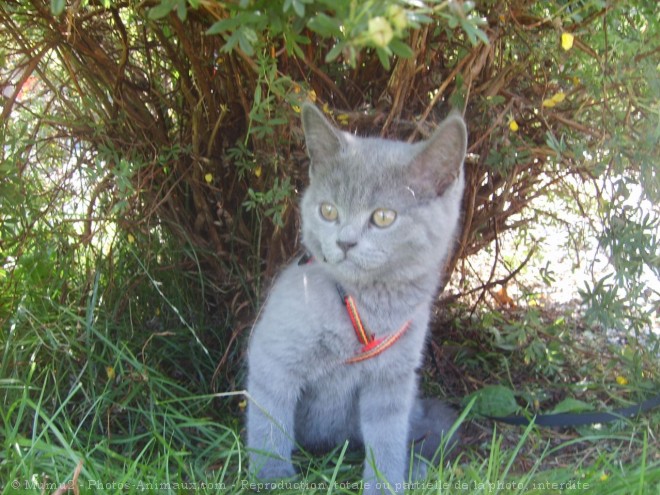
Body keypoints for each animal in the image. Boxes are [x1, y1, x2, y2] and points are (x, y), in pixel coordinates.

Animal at [245, 103, 466, 492]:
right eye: (328, 211)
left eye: (384, 217)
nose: (344, 242)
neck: (363, 302)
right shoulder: (274, 357)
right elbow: (269, 425)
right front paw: (272, 478)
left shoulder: (393, 380)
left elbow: (388, 440)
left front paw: (387, 483)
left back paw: (417, 468)